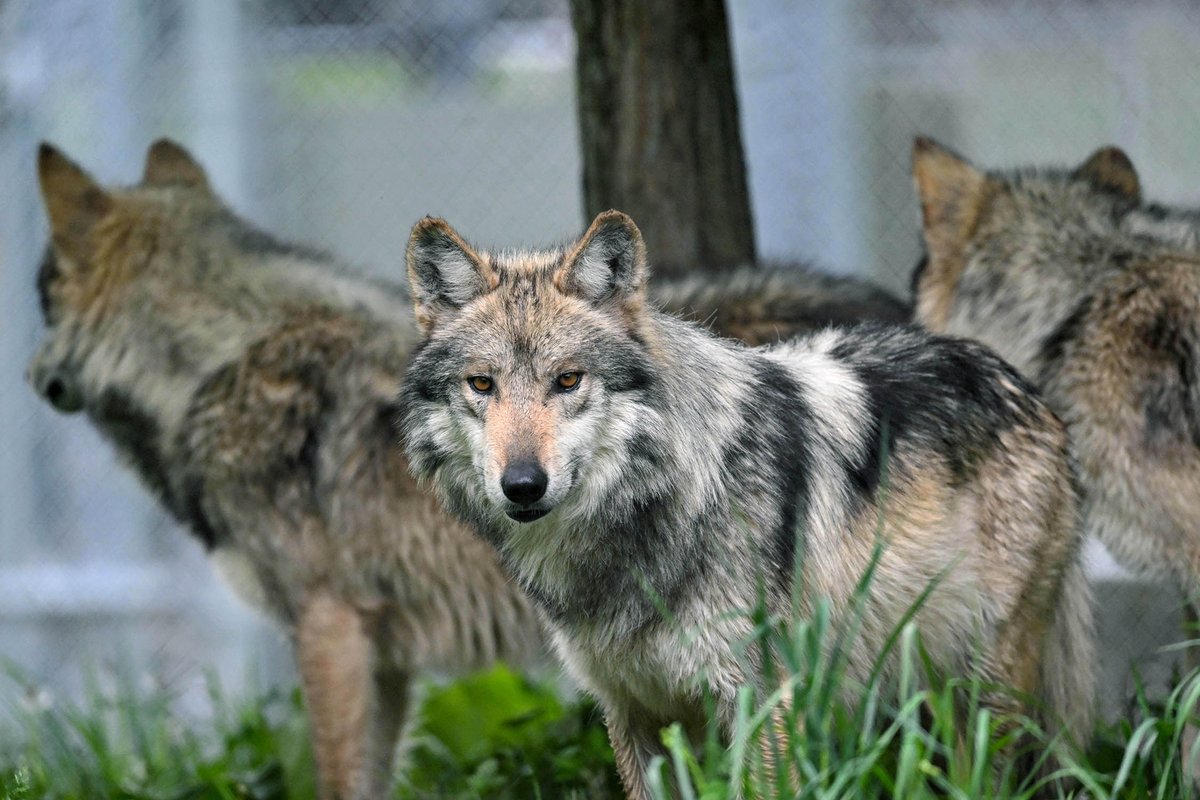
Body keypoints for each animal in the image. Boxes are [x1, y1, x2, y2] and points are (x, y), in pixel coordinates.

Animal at [25, 142, 547, 800]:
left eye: (42, 302)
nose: (28, 374)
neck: (219, 361)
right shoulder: (388, 655)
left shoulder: (328, 626)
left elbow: (334, 778)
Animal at [400, 209, 1099, 796]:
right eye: (481, 384)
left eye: (568, 380)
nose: (522, 484)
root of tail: (1019, 382)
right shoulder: (632, 712)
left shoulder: (759, 704)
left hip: (981, 695)